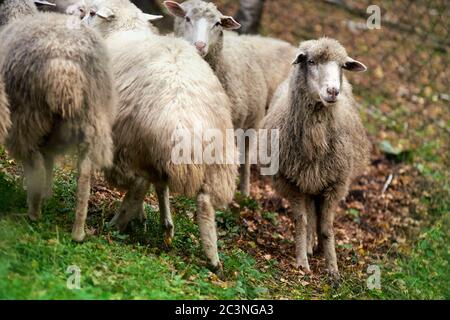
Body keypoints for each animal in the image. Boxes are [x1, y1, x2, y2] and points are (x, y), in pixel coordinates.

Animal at [0, 0, 118, 241]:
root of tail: (65, 67)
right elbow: (49, 160)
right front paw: (48, 194)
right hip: (93, 117)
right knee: (84, 173)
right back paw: (78, 231)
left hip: (28, 113)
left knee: (33, 162)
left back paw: (34, 212)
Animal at [163, 0, 298, 196]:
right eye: (187, 18)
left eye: (217, 24)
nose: (200, 45)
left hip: (251, 123)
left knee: (245, 157)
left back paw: (244, 192)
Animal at [260, 37, 370, 278]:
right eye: (310, 61)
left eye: (342, 66)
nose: (333, 91)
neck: (316, 141)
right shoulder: (292, 182)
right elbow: (301, 222)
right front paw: (302, 262)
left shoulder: (335, 183)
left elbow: (327, 228)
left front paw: (333, 269)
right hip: (308, 181)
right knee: (310, 215)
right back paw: (310, 246)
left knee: (318, 217)